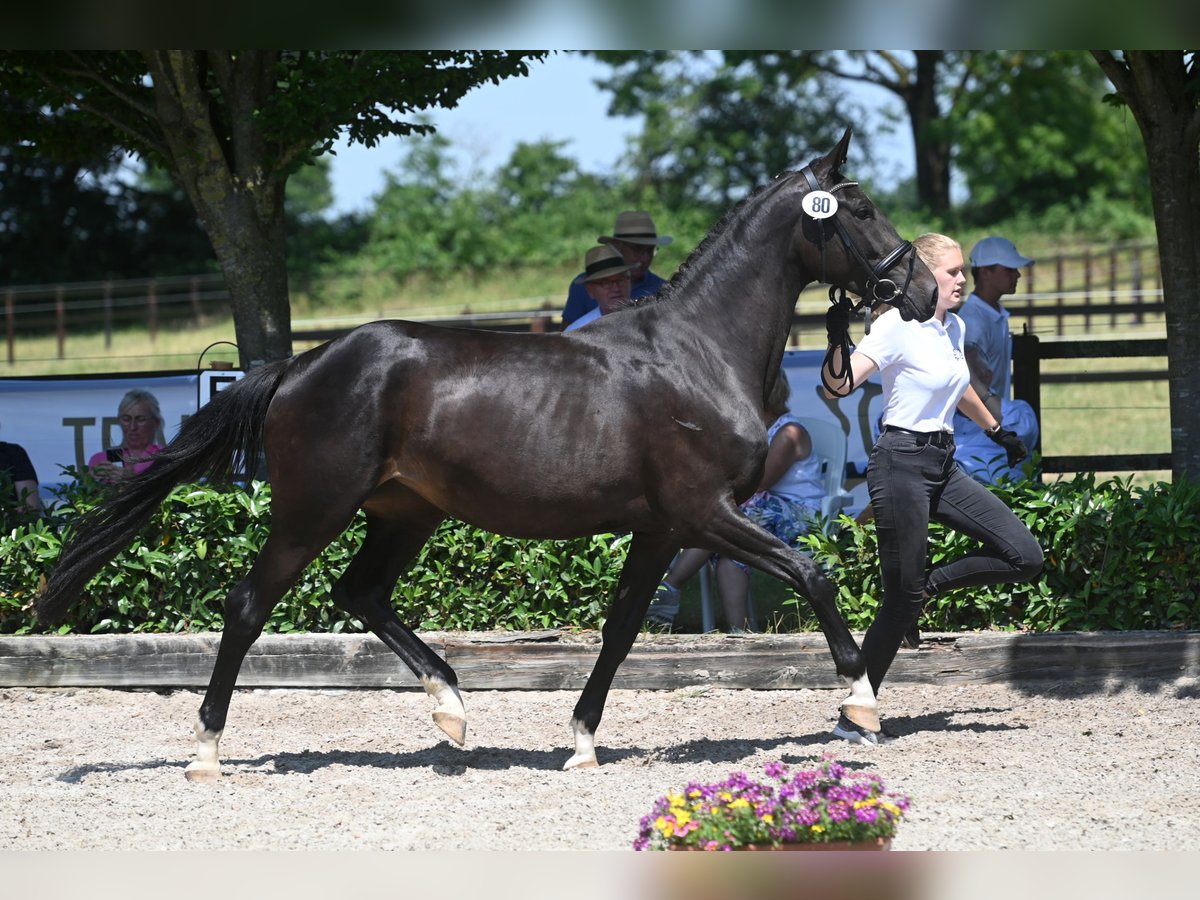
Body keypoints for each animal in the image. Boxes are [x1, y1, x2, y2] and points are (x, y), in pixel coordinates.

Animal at [32, 128, 936, 782]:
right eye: (857, 209)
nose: (924, 290)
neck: (696, 353)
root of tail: (298, 367)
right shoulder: (705, 513)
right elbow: (813, 574)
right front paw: (861, 705)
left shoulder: (662, 529)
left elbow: (620, 629)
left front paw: (581, 742)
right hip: (313, 507)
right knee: (249, 604)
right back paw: (207, 752)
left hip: (404, 513)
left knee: (360, 592)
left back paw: (452, 710)